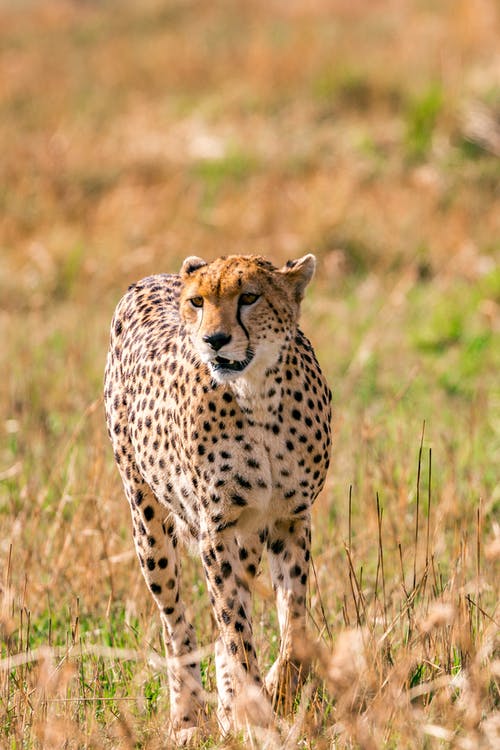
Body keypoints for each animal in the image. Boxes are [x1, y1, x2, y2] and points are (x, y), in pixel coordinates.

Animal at [103, 253, 332, 740]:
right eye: (198, 302)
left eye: (249, 297)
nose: (214, 340)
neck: (258, 394)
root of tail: (152, 276)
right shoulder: (216, 529)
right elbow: (235, 628)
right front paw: (257, 712)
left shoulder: (289, 518)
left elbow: (294, 623)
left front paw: (276, 691)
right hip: (147, 521)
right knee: (175, 621)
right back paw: (189, 717)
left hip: (247, 540)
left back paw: (228, 709)